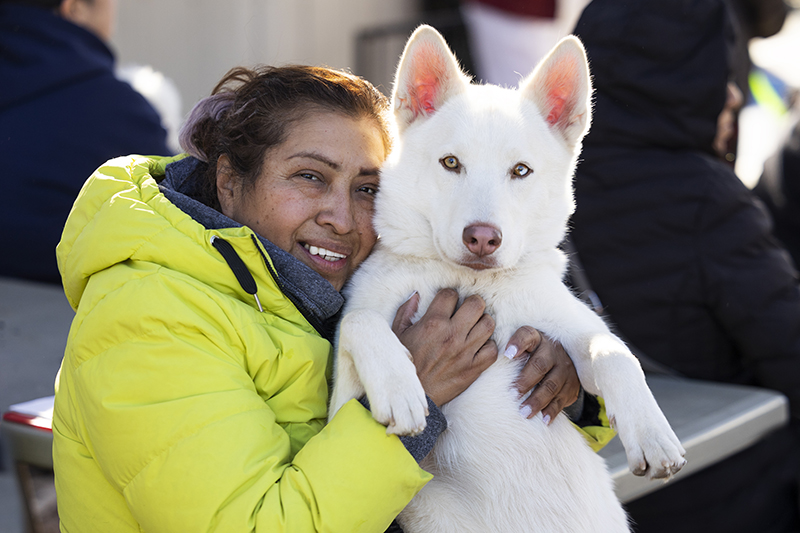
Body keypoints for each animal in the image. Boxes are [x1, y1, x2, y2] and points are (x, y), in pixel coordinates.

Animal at [328, 26, 684, 532]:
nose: (482, 238)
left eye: (520, 171)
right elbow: (361, 322)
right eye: (451, 163)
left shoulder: (576, 329)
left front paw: (652, 433)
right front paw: (398, 388)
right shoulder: (340, 401)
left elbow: (617, 353)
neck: (472, 285)